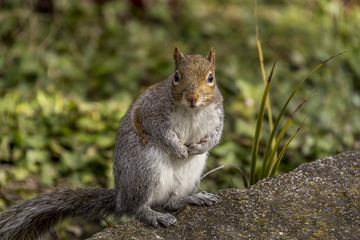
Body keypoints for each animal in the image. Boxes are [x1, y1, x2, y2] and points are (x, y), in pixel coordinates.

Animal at [0, 46, 224, 239]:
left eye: (211, 78)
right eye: (176, 77)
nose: (192, 97)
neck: (192, 111)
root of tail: (120, 198)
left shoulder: (217, 115)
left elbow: (216, 135)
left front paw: (200, 146)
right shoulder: (150, 112)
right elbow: (159, 131)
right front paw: (179, 149)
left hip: (191, 175)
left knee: (172, 203)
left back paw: (194, 198)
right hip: (145, 171)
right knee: (138, 208)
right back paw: (153, 215)